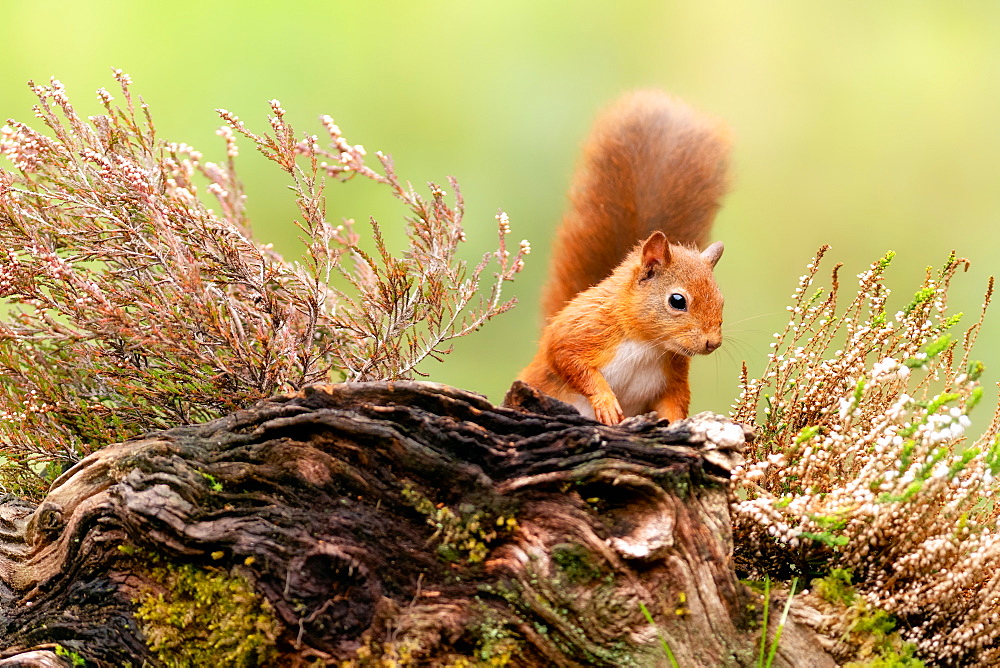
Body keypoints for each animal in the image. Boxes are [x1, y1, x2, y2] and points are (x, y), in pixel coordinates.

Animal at [516, 90, 728, 422]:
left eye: (722, 301)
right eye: (677, 301)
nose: (712, 343)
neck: (648, 345)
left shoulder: (672, 376)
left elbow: (675, 403)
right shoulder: (581, 330)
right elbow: (567, 358)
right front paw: (605, 401)